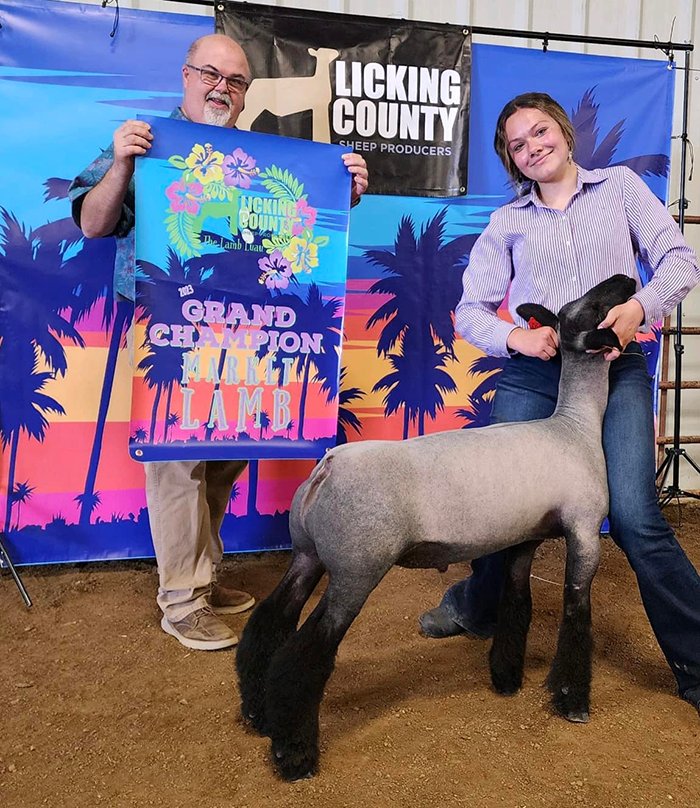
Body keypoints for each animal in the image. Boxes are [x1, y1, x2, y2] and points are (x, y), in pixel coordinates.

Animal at [236, 274, 637, 781]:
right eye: (595, 305)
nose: (627, 280)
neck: (574, 426)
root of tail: (326, 467)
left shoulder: (525, 537)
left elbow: (516, 603)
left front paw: (506, 678)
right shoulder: (584, 530)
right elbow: (576, 614)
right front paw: (572, 701)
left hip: (307, 556)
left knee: (269, 622)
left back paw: (256, 711)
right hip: (356, 569)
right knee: (305, 652)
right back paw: (294, 753)